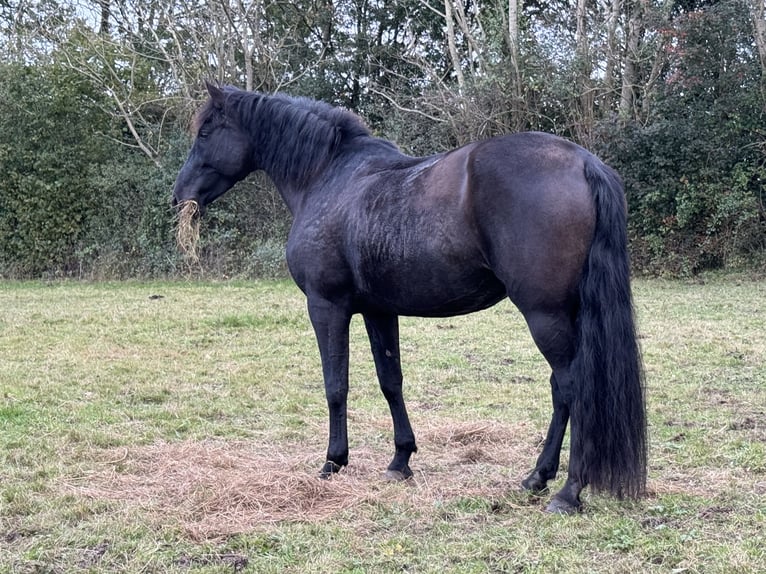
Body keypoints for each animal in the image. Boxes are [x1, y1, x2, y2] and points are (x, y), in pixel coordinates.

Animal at [172, 83, 648, 516]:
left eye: (206, 131)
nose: (179, 195)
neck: (327, 176)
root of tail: (584, 162)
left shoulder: (327, 307)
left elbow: (335, 385)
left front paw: (333, 462)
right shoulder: (379, 311)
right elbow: (390, 381)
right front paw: (400, 460)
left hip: (544, 314)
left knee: (571, 385)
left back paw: (568, 492)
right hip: (567, 313)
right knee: (561, 390)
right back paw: (537, 477)